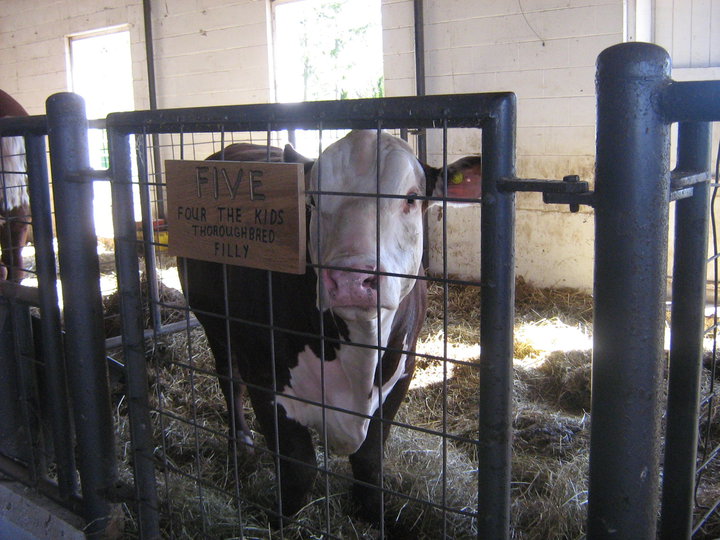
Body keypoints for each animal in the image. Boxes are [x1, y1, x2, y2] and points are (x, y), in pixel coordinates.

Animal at [177, 130, 482, 524]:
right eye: (312, 200)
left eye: (412, 198)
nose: (351, 279)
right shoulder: (264, 374)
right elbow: (299, 467)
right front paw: (278, 520)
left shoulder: (402, 372)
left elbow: (368, 461)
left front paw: (372, 513)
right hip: (214, 322)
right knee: (229, 378)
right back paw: (241, 441)